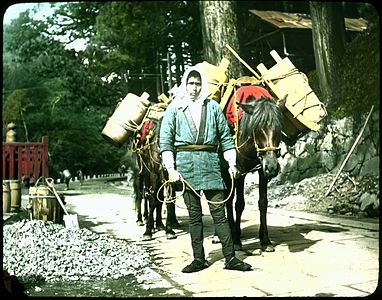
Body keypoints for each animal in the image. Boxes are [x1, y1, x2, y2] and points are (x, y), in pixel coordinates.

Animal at [221, 85, 284, 252]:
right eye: (257, 128)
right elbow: (239, 204)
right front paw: (236, 240)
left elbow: (263, 202)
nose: (272, 167)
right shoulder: (239, 172)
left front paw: (265, 240)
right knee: (227, 200)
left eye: (279, 127)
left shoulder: (262, 171)